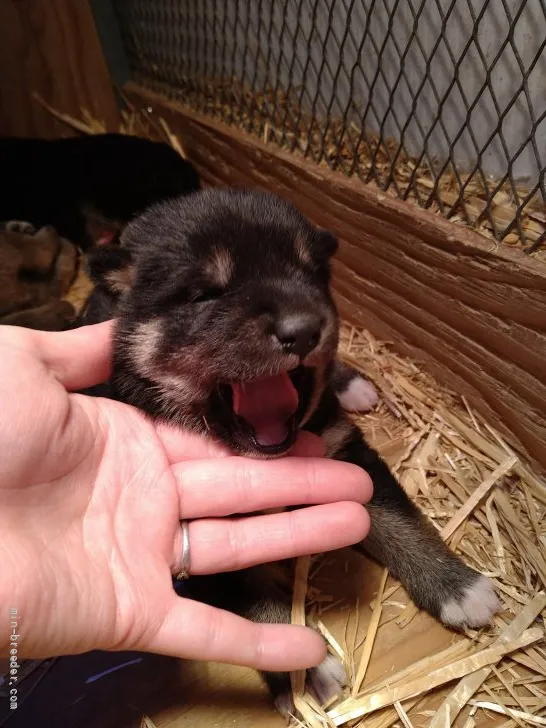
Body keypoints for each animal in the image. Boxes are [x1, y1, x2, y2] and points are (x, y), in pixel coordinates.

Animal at [76, 188, 498, 716]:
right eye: (204, 294)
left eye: (311, 275)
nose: (303, 329)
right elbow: (261, 609)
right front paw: (305, 671)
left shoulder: (345, 449)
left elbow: (401, 521)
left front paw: (458, 587)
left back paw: (352, 382)